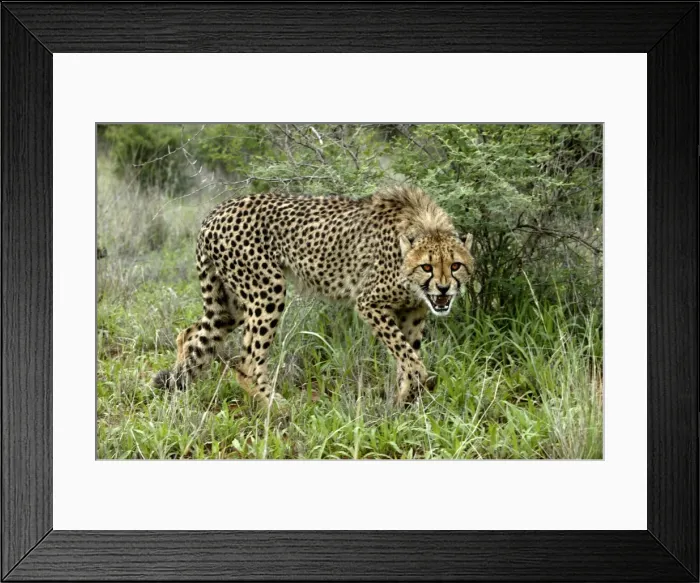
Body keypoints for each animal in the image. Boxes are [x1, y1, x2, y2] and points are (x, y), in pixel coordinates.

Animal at [152, 185, 475, 408]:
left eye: (456, 265)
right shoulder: (369, 303)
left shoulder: (413, 311)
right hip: (266, 291)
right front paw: (416, 389)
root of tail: (216, 211)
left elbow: (407, 357)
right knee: (247, 363)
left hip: (231, 304)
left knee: (190, 334)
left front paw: (405, 401)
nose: (443, 289)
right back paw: (278, 408)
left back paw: (182, 386)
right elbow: (408, 356)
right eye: (427, 267)